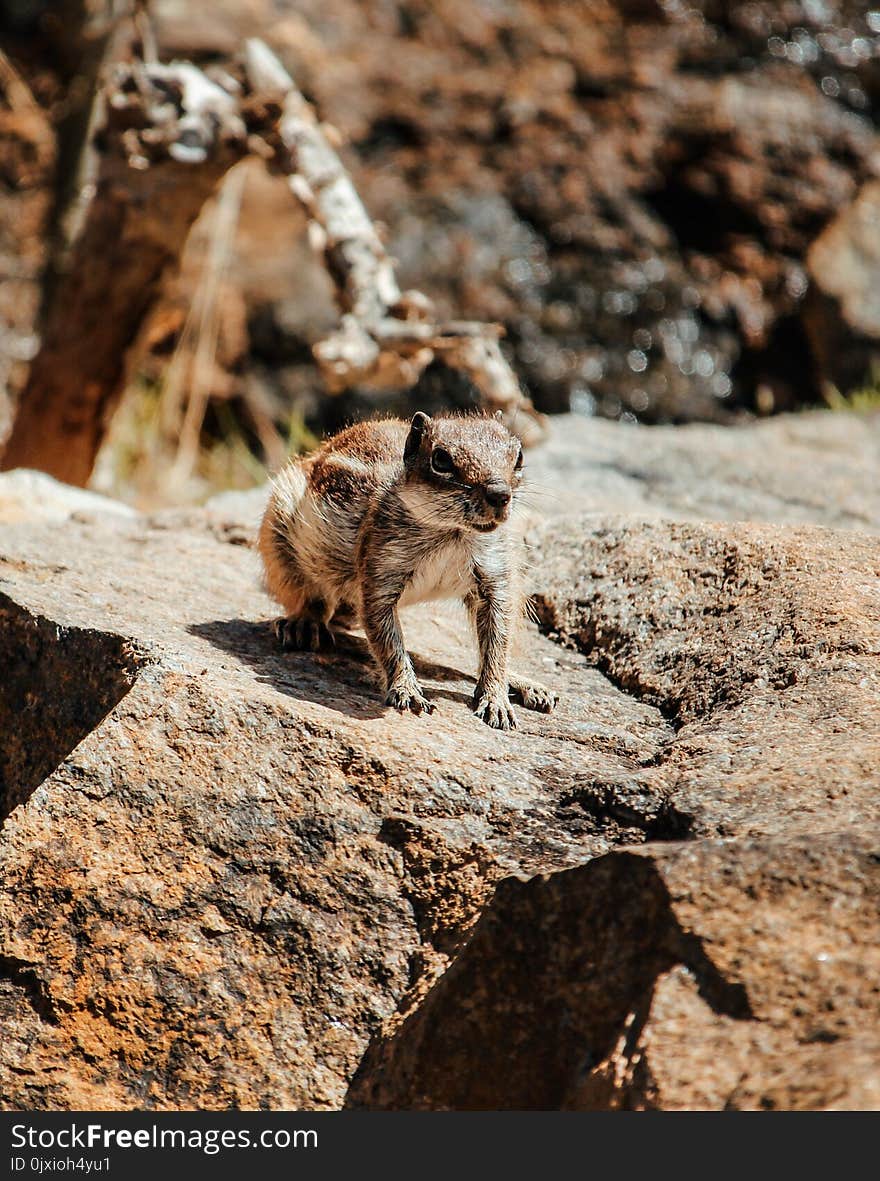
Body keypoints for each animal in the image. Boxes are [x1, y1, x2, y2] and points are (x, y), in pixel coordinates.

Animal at [257, 413, 555, 727]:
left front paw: (496, 698)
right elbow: (388, 640)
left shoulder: (496, 576)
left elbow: (498, 640)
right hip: (280, 535)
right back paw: (305, 625)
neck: (452, 533)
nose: (500, 494)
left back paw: (525, 683)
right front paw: (407, 690)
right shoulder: (380, 572)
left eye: (519, 456)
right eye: (441, 459)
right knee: (310, 596)